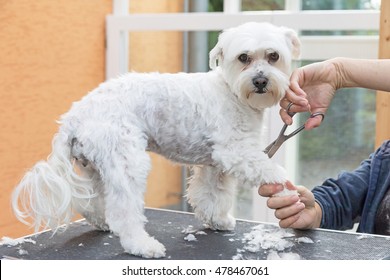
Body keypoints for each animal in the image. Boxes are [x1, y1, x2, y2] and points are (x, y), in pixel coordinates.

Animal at [11, 21, 298, 258]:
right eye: (243, 58)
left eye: (273, 56)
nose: (260, 80)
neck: (232, 91)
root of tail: (75, 115)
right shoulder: (235, 152)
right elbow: (272, 171)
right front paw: (286, 190)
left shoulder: (214, 164)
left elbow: (213, 192)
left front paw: (217, 219)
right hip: (127, 161)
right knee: (124, 212)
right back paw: (141, 245)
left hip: (99, 166)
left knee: (93, 201)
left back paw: (102, 221)